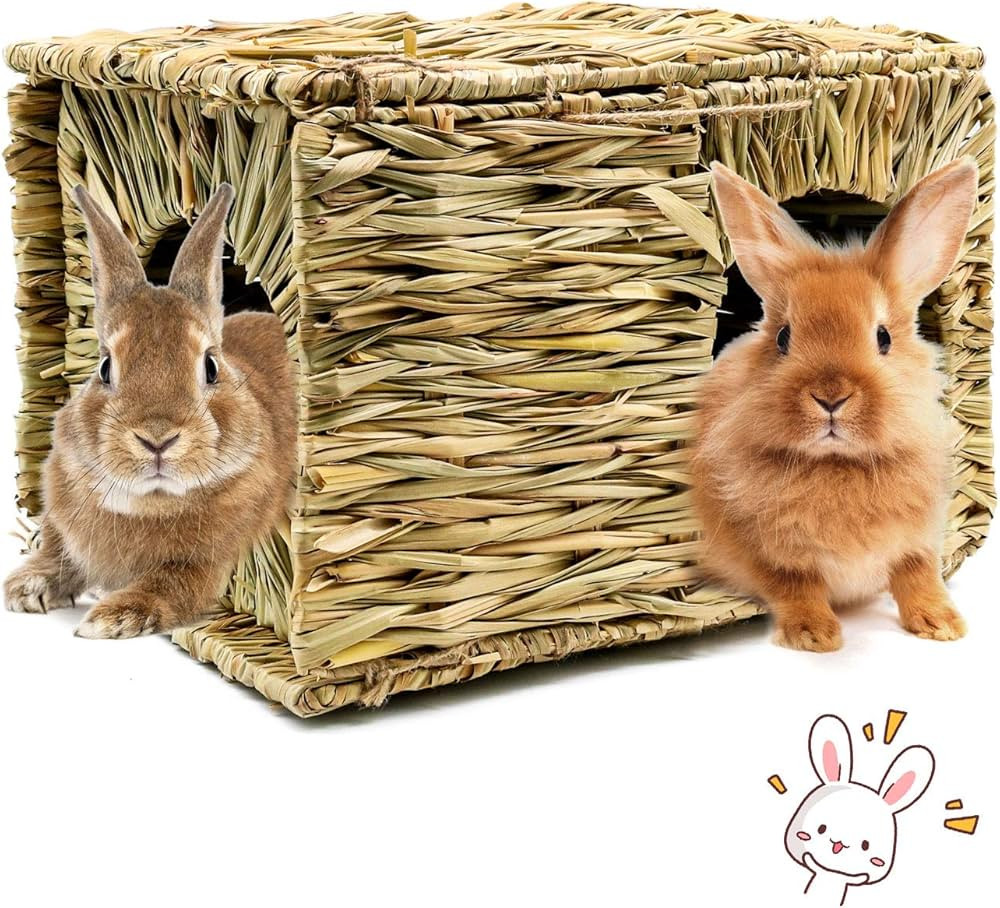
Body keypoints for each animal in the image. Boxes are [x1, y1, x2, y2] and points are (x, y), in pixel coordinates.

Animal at [3, 183, 297, 638]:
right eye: (105, 367)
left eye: (211, 366)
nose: (157, 439)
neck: (150, 503)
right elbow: (58, 552)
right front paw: (25, 588)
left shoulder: (205, 564)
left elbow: (170, 585)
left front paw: (110, 619)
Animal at [692, 159, 979, 652]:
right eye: (783, 338)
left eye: (883, 338)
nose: (831, 397)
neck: (838, 464)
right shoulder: (765, 553)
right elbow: (795, 584)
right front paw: (815, 636)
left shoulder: (919, 539)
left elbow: (918, 575)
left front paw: (942, 625)